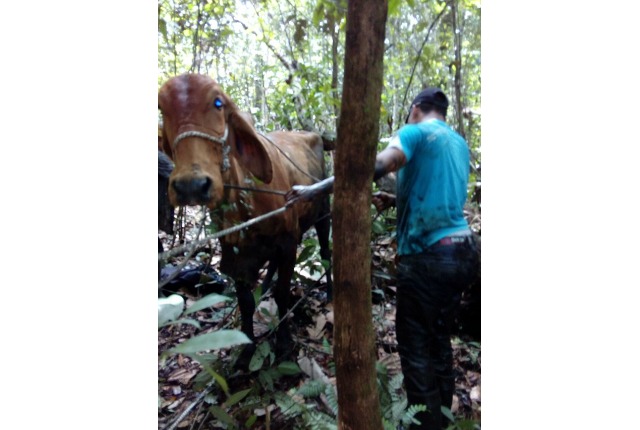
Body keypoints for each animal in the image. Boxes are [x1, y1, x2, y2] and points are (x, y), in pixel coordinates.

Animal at [158, 74, 332, 366]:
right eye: (161, 109)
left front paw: (284, 343)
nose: (191, 186)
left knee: (327, 252)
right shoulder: (233, 257)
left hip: (324, 213)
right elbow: (246, 303)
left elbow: (283, 295)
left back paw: (329, 293)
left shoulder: (288, 245)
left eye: (218, 103)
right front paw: (246, 349)